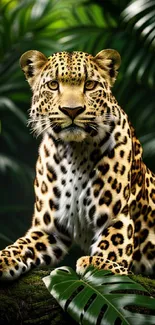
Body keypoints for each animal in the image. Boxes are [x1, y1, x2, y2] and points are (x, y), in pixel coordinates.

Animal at [0, 47, 155, 278]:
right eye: (53, 85)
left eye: (89, 85)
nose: (71, 110)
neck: (75, 152)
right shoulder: (49, 230)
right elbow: (21, 246)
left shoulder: (118, 219)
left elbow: (111, 250)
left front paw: (99, 263)